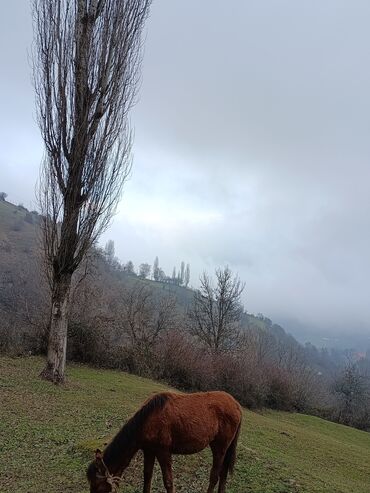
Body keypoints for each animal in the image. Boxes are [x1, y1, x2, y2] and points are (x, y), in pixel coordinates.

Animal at [86, 390, 243, 490]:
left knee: (215, 476)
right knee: (223, 474)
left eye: (97, 485)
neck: (147, 420)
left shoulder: (163, 452)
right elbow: (147, 476)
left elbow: (168, 482)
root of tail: (237, 405)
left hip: (219, 447)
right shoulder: (149, 450)